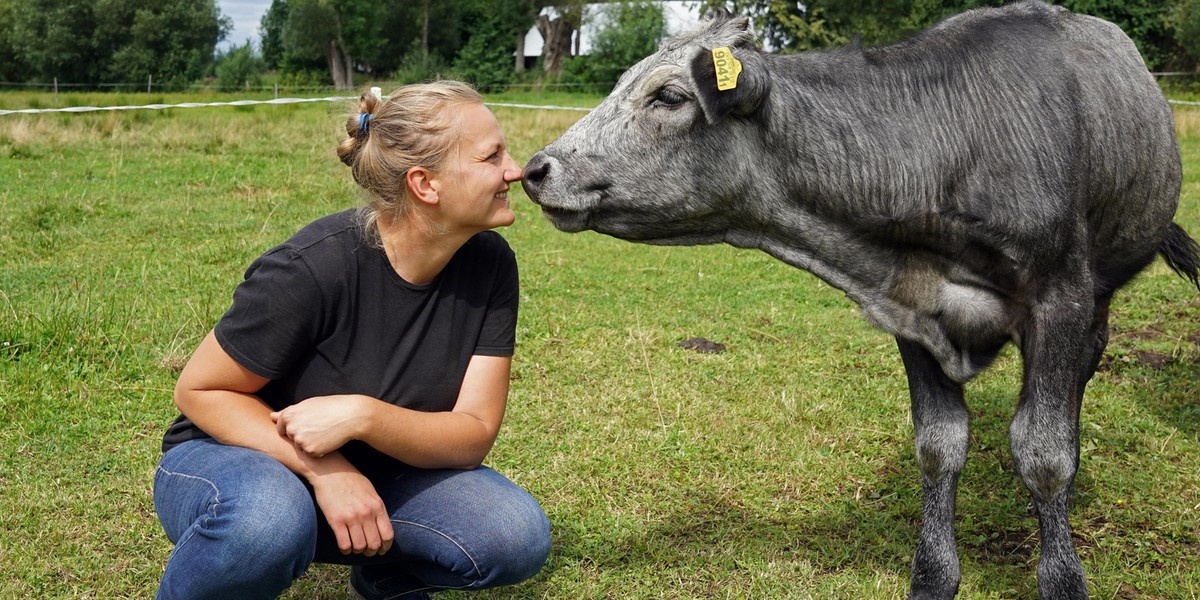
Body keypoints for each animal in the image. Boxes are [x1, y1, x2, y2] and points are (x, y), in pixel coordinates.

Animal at [523, 1, 1200, 600]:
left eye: (667, 96)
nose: (536, 169)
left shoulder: (1060, 300)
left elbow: (1045, 451)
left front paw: (1061, 573)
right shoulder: (914, 307)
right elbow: (939, 445)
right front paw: (934, 577)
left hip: (1099, 297)